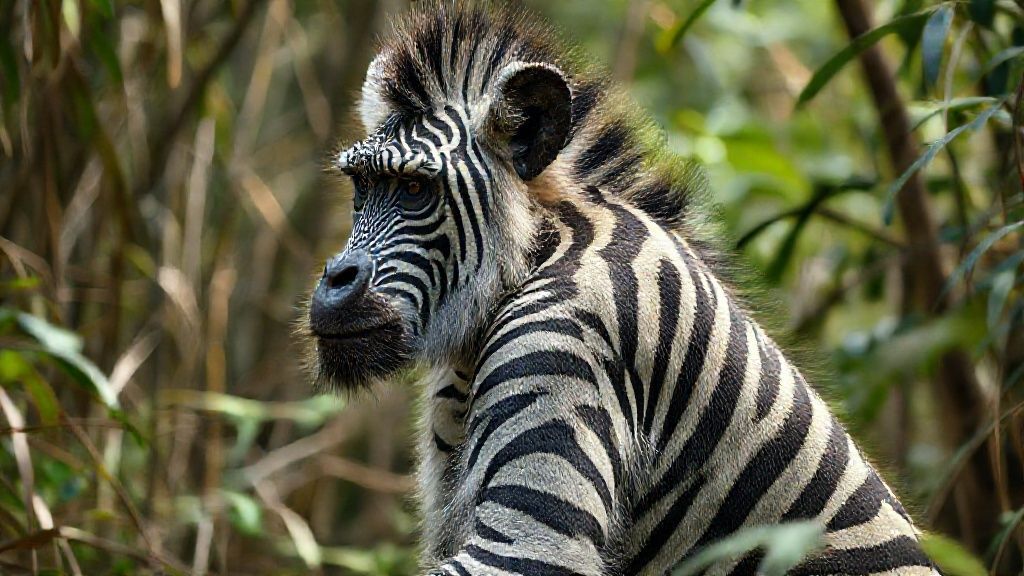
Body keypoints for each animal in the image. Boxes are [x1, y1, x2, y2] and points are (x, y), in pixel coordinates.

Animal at [302, 2, 939, 574]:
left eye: (415, 190)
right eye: (360, 189)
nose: (335, 277)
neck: (535, 254)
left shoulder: (563, 353)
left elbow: (533, 548)